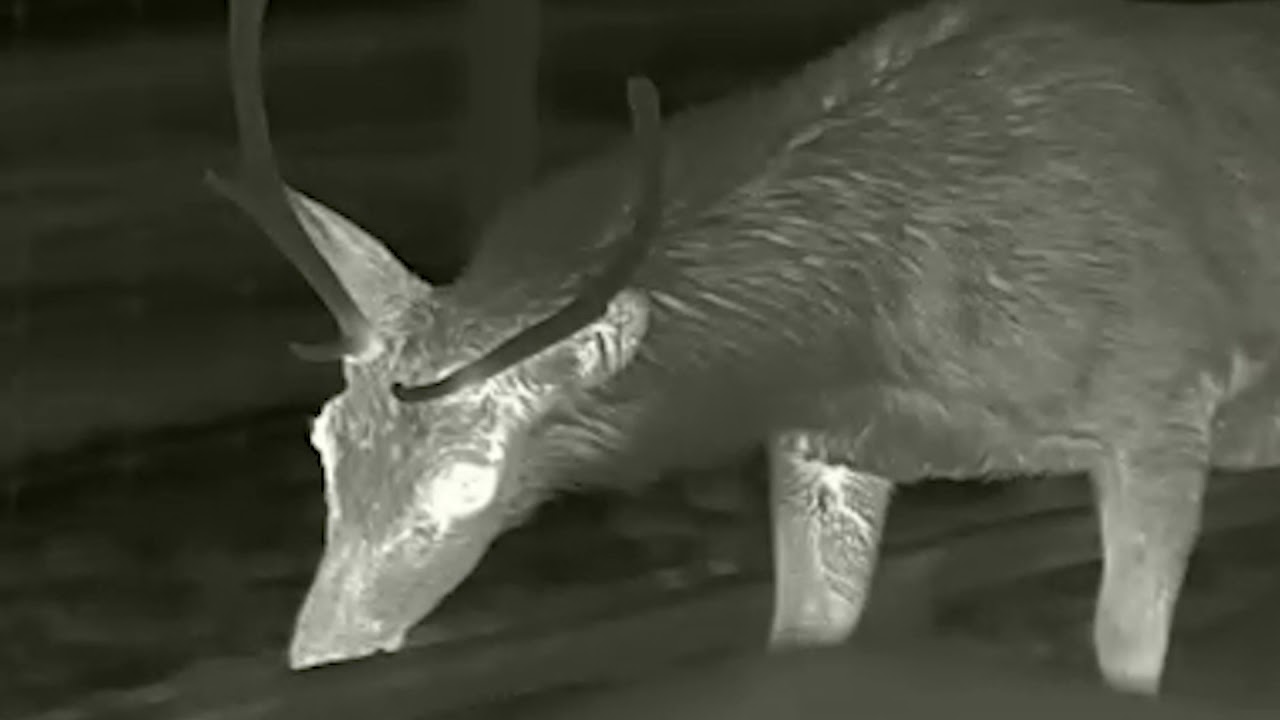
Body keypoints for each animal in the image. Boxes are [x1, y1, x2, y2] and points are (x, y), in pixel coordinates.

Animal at [208, 0, 1280, 697]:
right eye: (323, 443)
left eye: (466, 486)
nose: (320, 654)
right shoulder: (823, 444)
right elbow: (802, 632)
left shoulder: (1162, 394)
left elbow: (1124, 654)